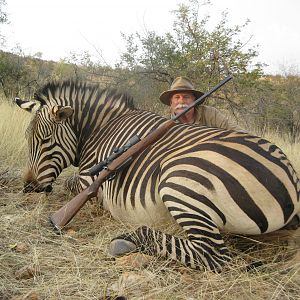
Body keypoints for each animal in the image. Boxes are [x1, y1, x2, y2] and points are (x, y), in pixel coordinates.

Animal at [15, 80, 300, 272]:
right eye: (27, 138)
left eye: (45, 140)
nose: (29, 188)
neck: (101, 129)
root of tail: (289, 175)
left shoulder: (89, 177)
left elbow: (70, 183)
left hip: (178, 182)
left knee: (214, 255)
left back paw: (125, 243)